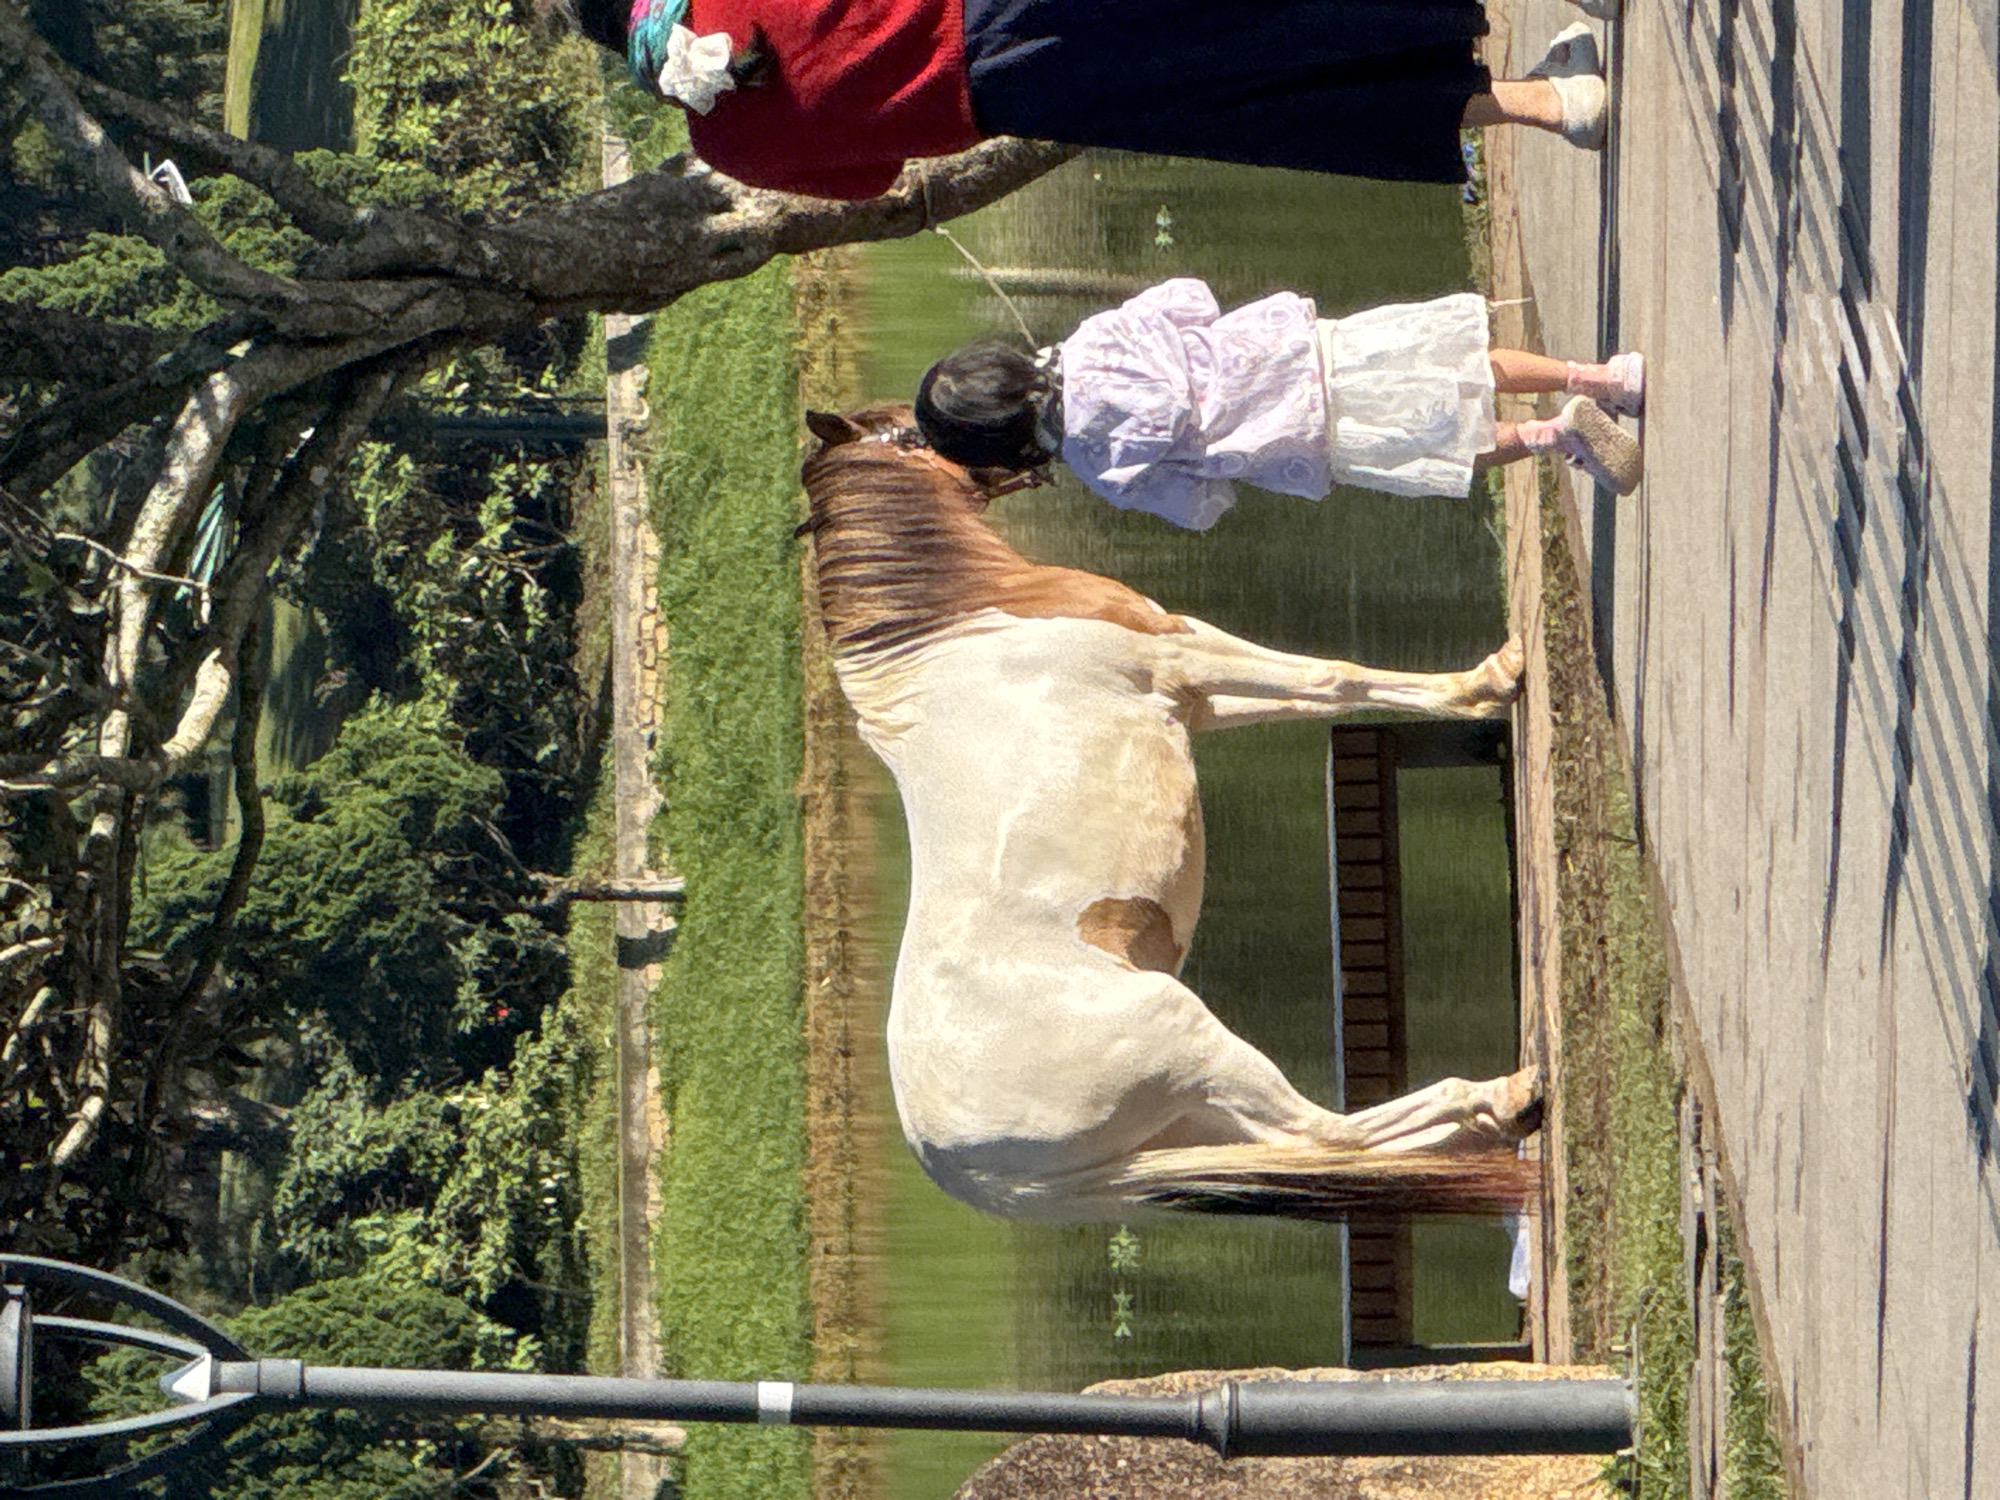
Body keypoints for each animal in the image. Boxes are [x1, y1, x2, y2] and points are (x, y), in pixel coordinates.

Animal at [800, 406, 1540, 1223]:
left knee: (1321, 1147)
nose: (1050, 439)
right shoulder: (1184, 657)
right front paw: (1494, 679)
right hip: (1193, 1047)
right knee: (1328, 1134)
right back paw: (1507, 1095)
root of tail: (974, 1173)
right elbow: (1333, 677)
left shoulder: (1197, 696)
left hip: (1190, 1117)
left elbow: (1314, 691)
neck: (963, 629)